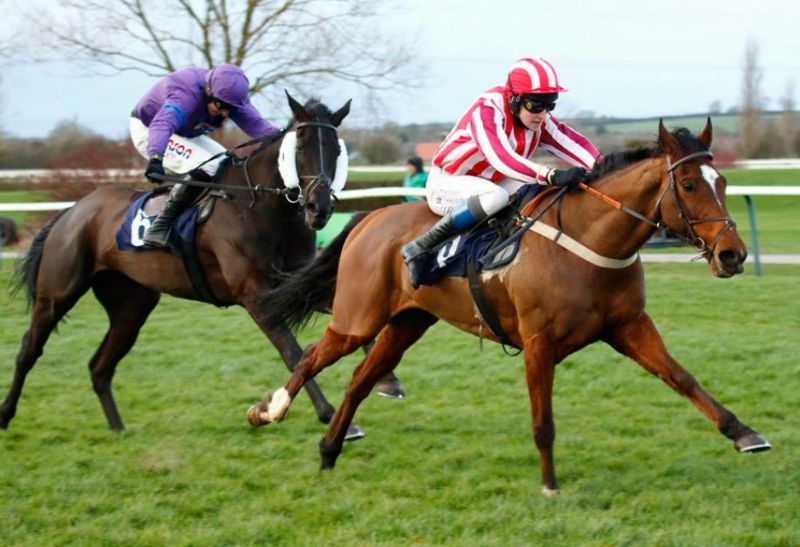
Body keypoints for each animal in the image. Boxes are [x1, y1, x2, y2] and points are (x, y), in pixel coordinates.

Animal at [0, 93, 368, 436]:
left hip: (131, 306)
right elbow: (293, 353)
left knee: (99, 365)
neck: (263, 206)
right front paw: (330, 416)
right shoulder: (257, 297)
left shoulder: (297, 286)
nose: (319, 208)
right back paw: (6, 415)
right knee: (29, 349)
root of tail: (72, 210)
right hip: (57, 294)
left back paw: (118, 429)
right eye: (301, 146)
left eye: (336, 151)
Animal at [248, 120, 768, 496]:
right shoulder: (539, 342)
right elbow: (544, 422)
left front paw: (744, 433)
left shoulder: (628, 326)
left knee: (360, 380)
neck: (589, 239)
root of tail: (370, 217)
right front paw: (550, 484)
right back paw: (268, 411)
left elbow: (682, 377)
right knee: (313, 355)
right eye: (688, 184)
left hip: (406, 322)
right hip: (357, 318)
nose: (732, 254)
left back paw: (328, 451)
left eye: (722, 181)